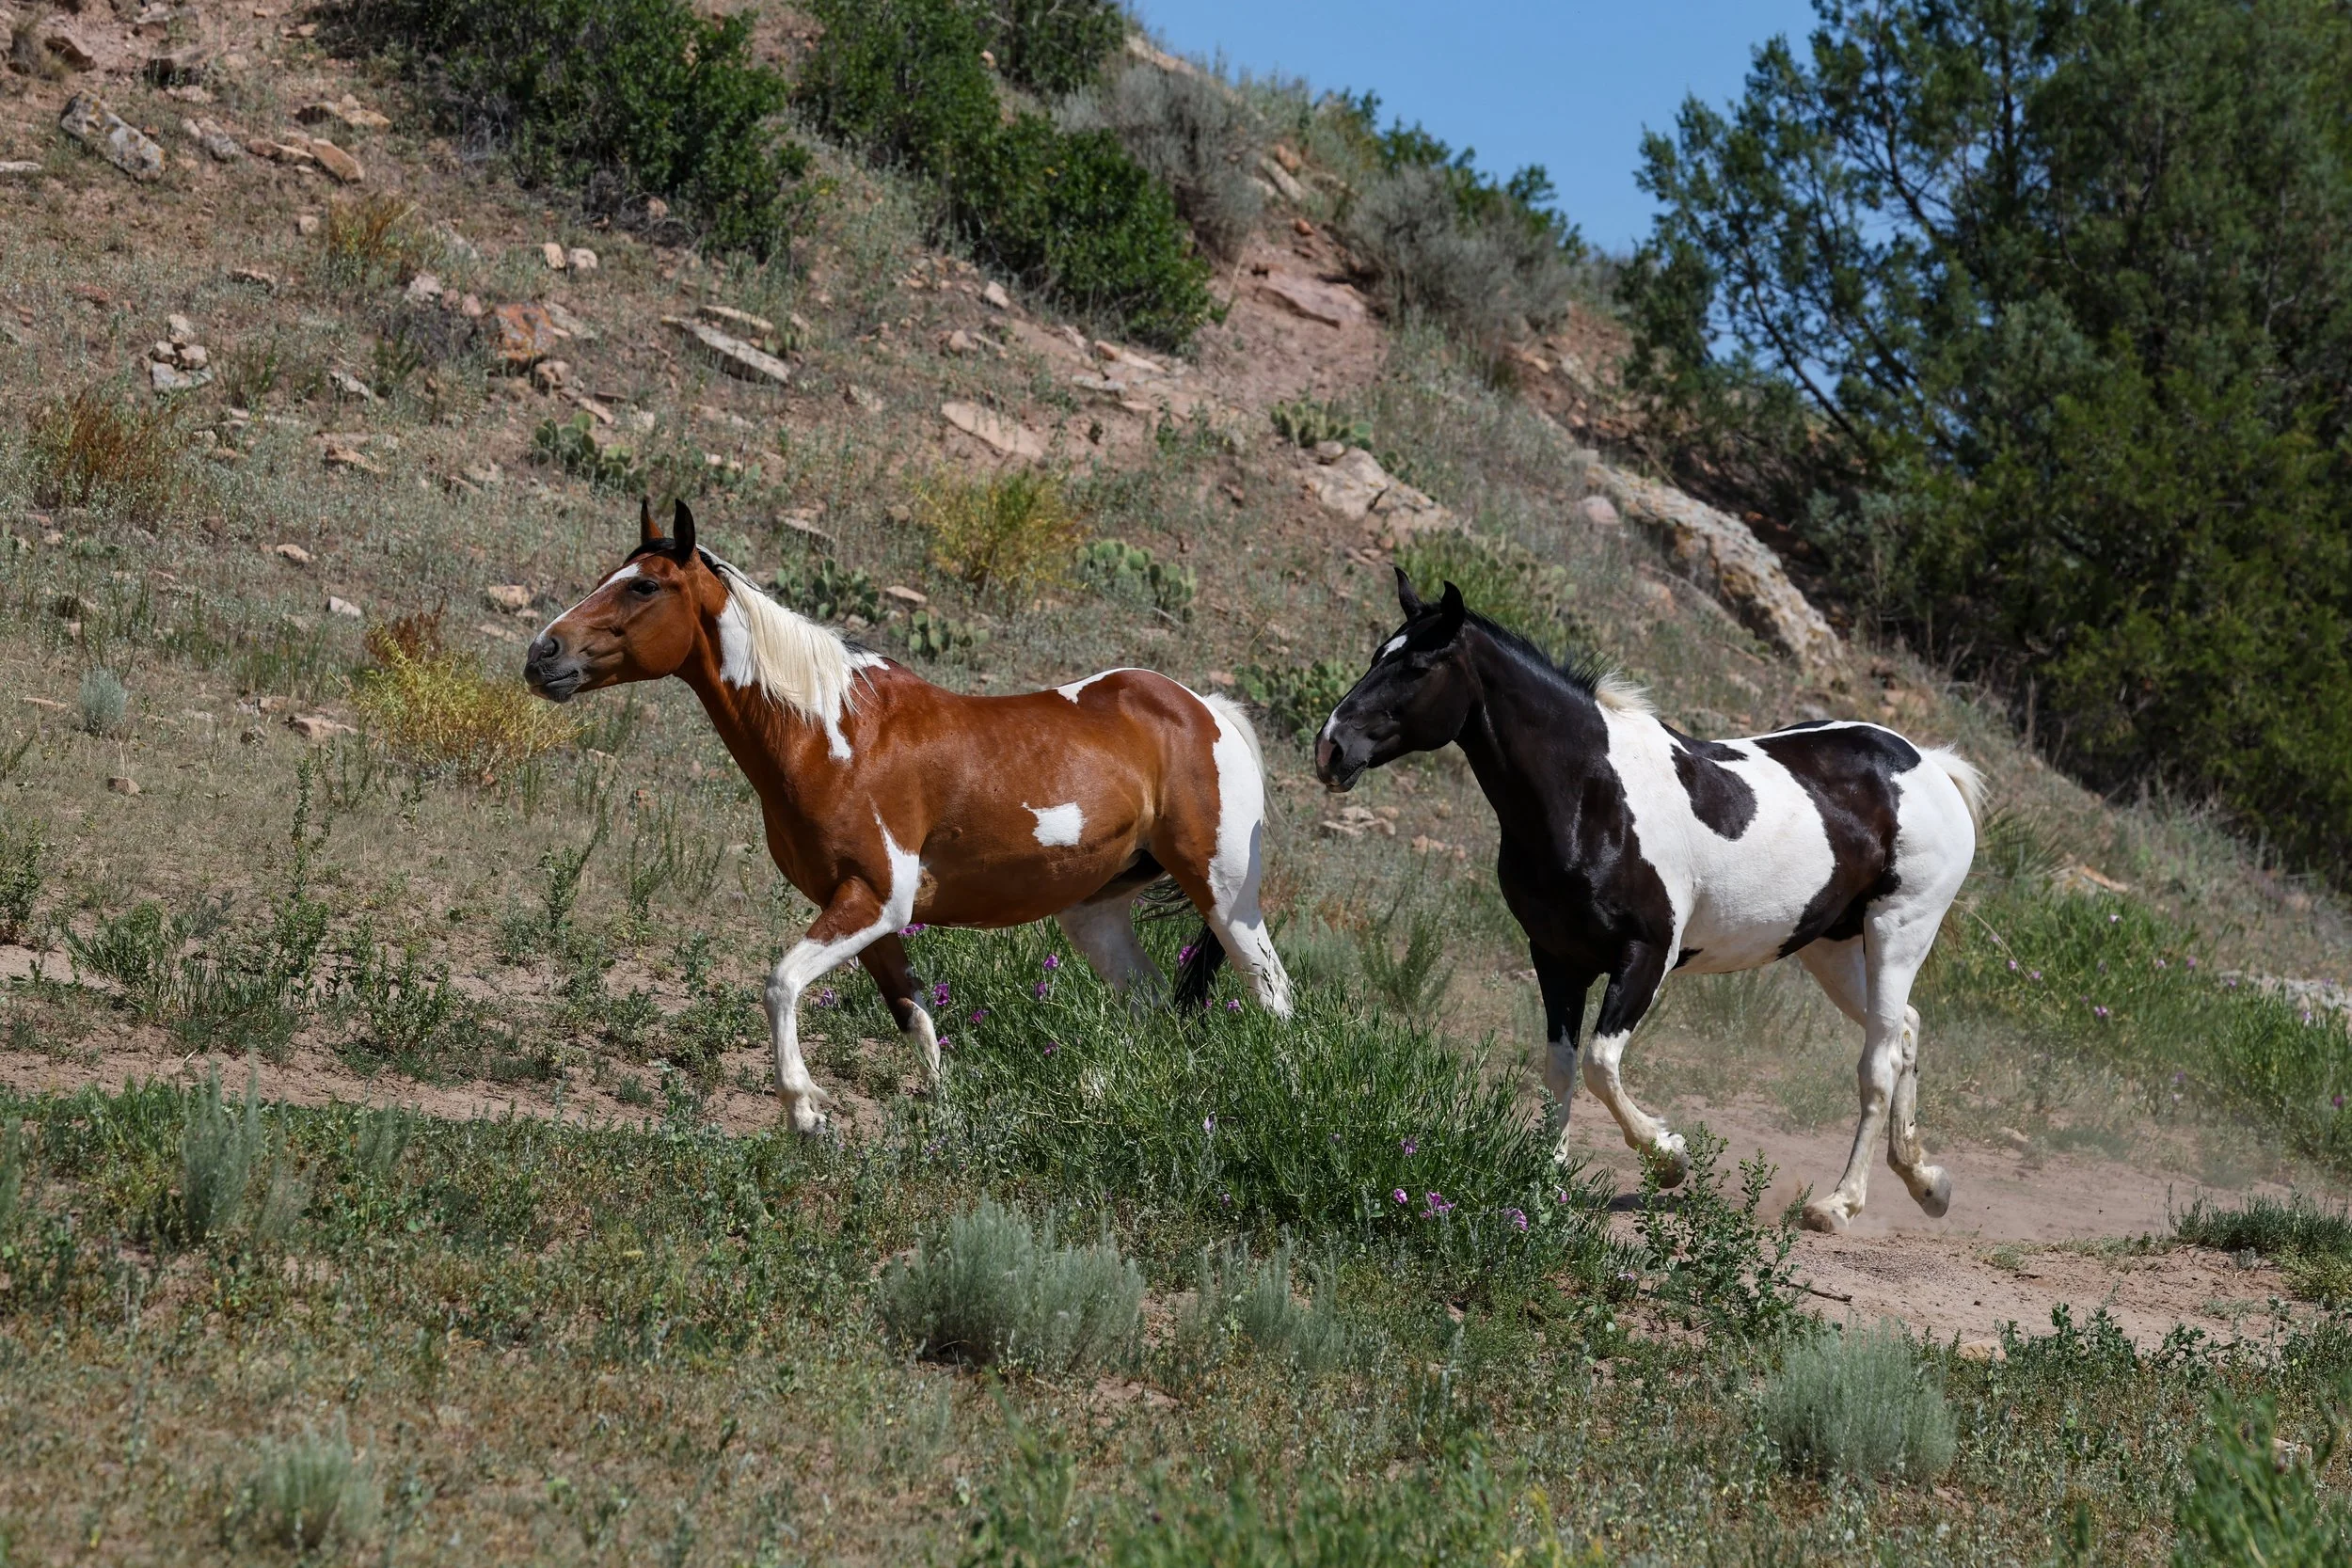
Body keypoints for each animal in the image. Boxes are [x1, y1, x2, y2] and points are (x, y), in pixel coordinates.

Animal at [524, 500, 1293, 1132]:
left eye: (644, 586)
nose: (541, 654)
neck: (834, 734)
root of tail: (1204, 709)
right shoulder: (864, 912)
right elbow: (916, 1017)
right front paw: (943, 1114)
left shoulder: (873, 900)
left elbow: (780, 983)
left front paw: (806, 1110)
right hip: (1096, 912)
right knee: (1153, 1002)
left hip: (1225, 894)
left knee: (1274, 998)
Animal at [1314, 570, 1981, 1233]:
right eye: (1377, 656)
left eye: (1418, 668)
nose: (1330, 749)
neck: (1592, 796)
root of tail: (1928, 766)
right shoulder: (1555, 957)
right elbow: (1560, 1064)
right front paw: (1545, 1179)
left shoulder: (1645, 955)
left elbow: (1600, 1064)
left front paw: (1669, 1157)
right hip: (1831, 947)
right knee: (1904, 1030)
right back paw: (1926, 1181)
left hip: (1899, 930)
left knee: (1879, 1063)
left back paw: (1838, 1204)